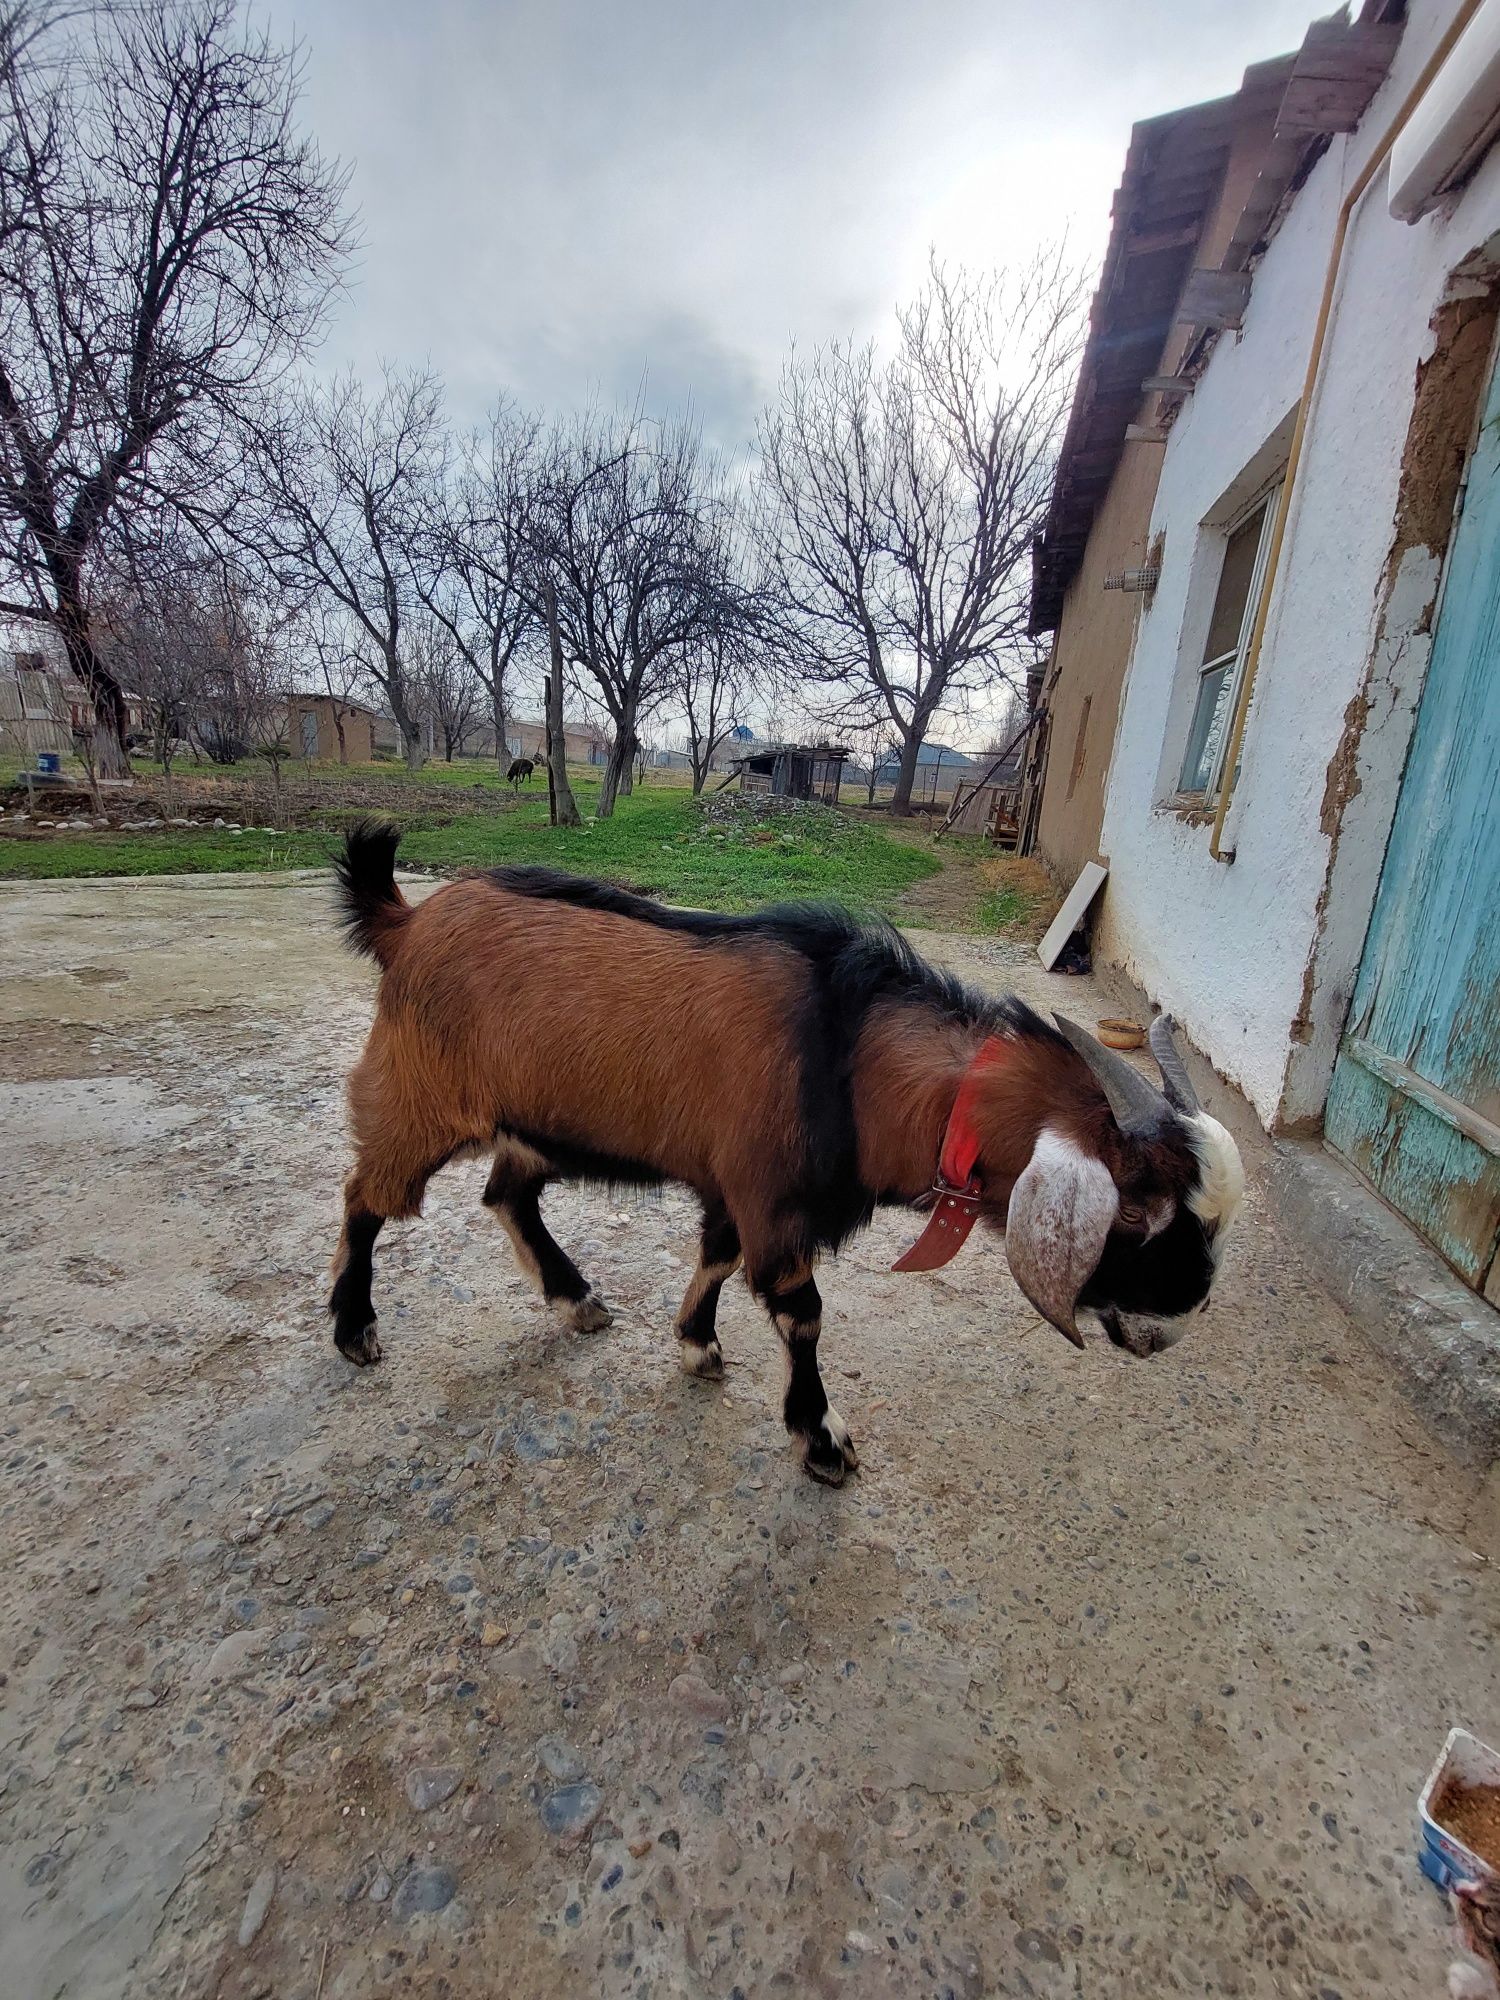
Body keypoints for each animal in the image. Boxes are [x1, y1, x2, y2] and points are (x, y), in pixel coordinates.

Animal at [328, 816, 1248, 1488]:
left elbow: (718, 1257)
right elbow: (799, 1312)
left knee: (506, 1194)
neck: (849, 1050)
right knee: (366, 1197)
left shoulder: (737, 1188)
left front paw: (697, 1345)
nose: (1179, 1320)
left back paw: (577, 1299)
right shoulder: (770, 1194)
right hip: (416, 1097)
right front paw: (823, 1440)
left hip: (537, 1120)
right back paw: (354, 1327)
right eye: (1135, 1203)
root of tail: (407, 921)